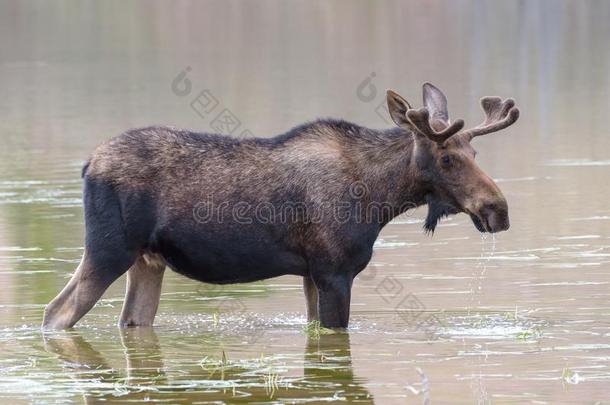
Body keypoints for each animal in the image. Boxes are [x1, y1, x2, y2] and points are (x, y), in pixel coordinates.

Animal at [42, 82, 516, 328]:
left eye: (475, 153)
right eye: (447, 158)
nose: (499, 210)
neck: (381, 197)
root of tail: (88, 164)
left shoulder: (310, 274)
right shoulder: (334, 270)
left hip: (147, 260)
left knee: (130, 322)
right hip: (108, 249)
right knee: (55, 312)